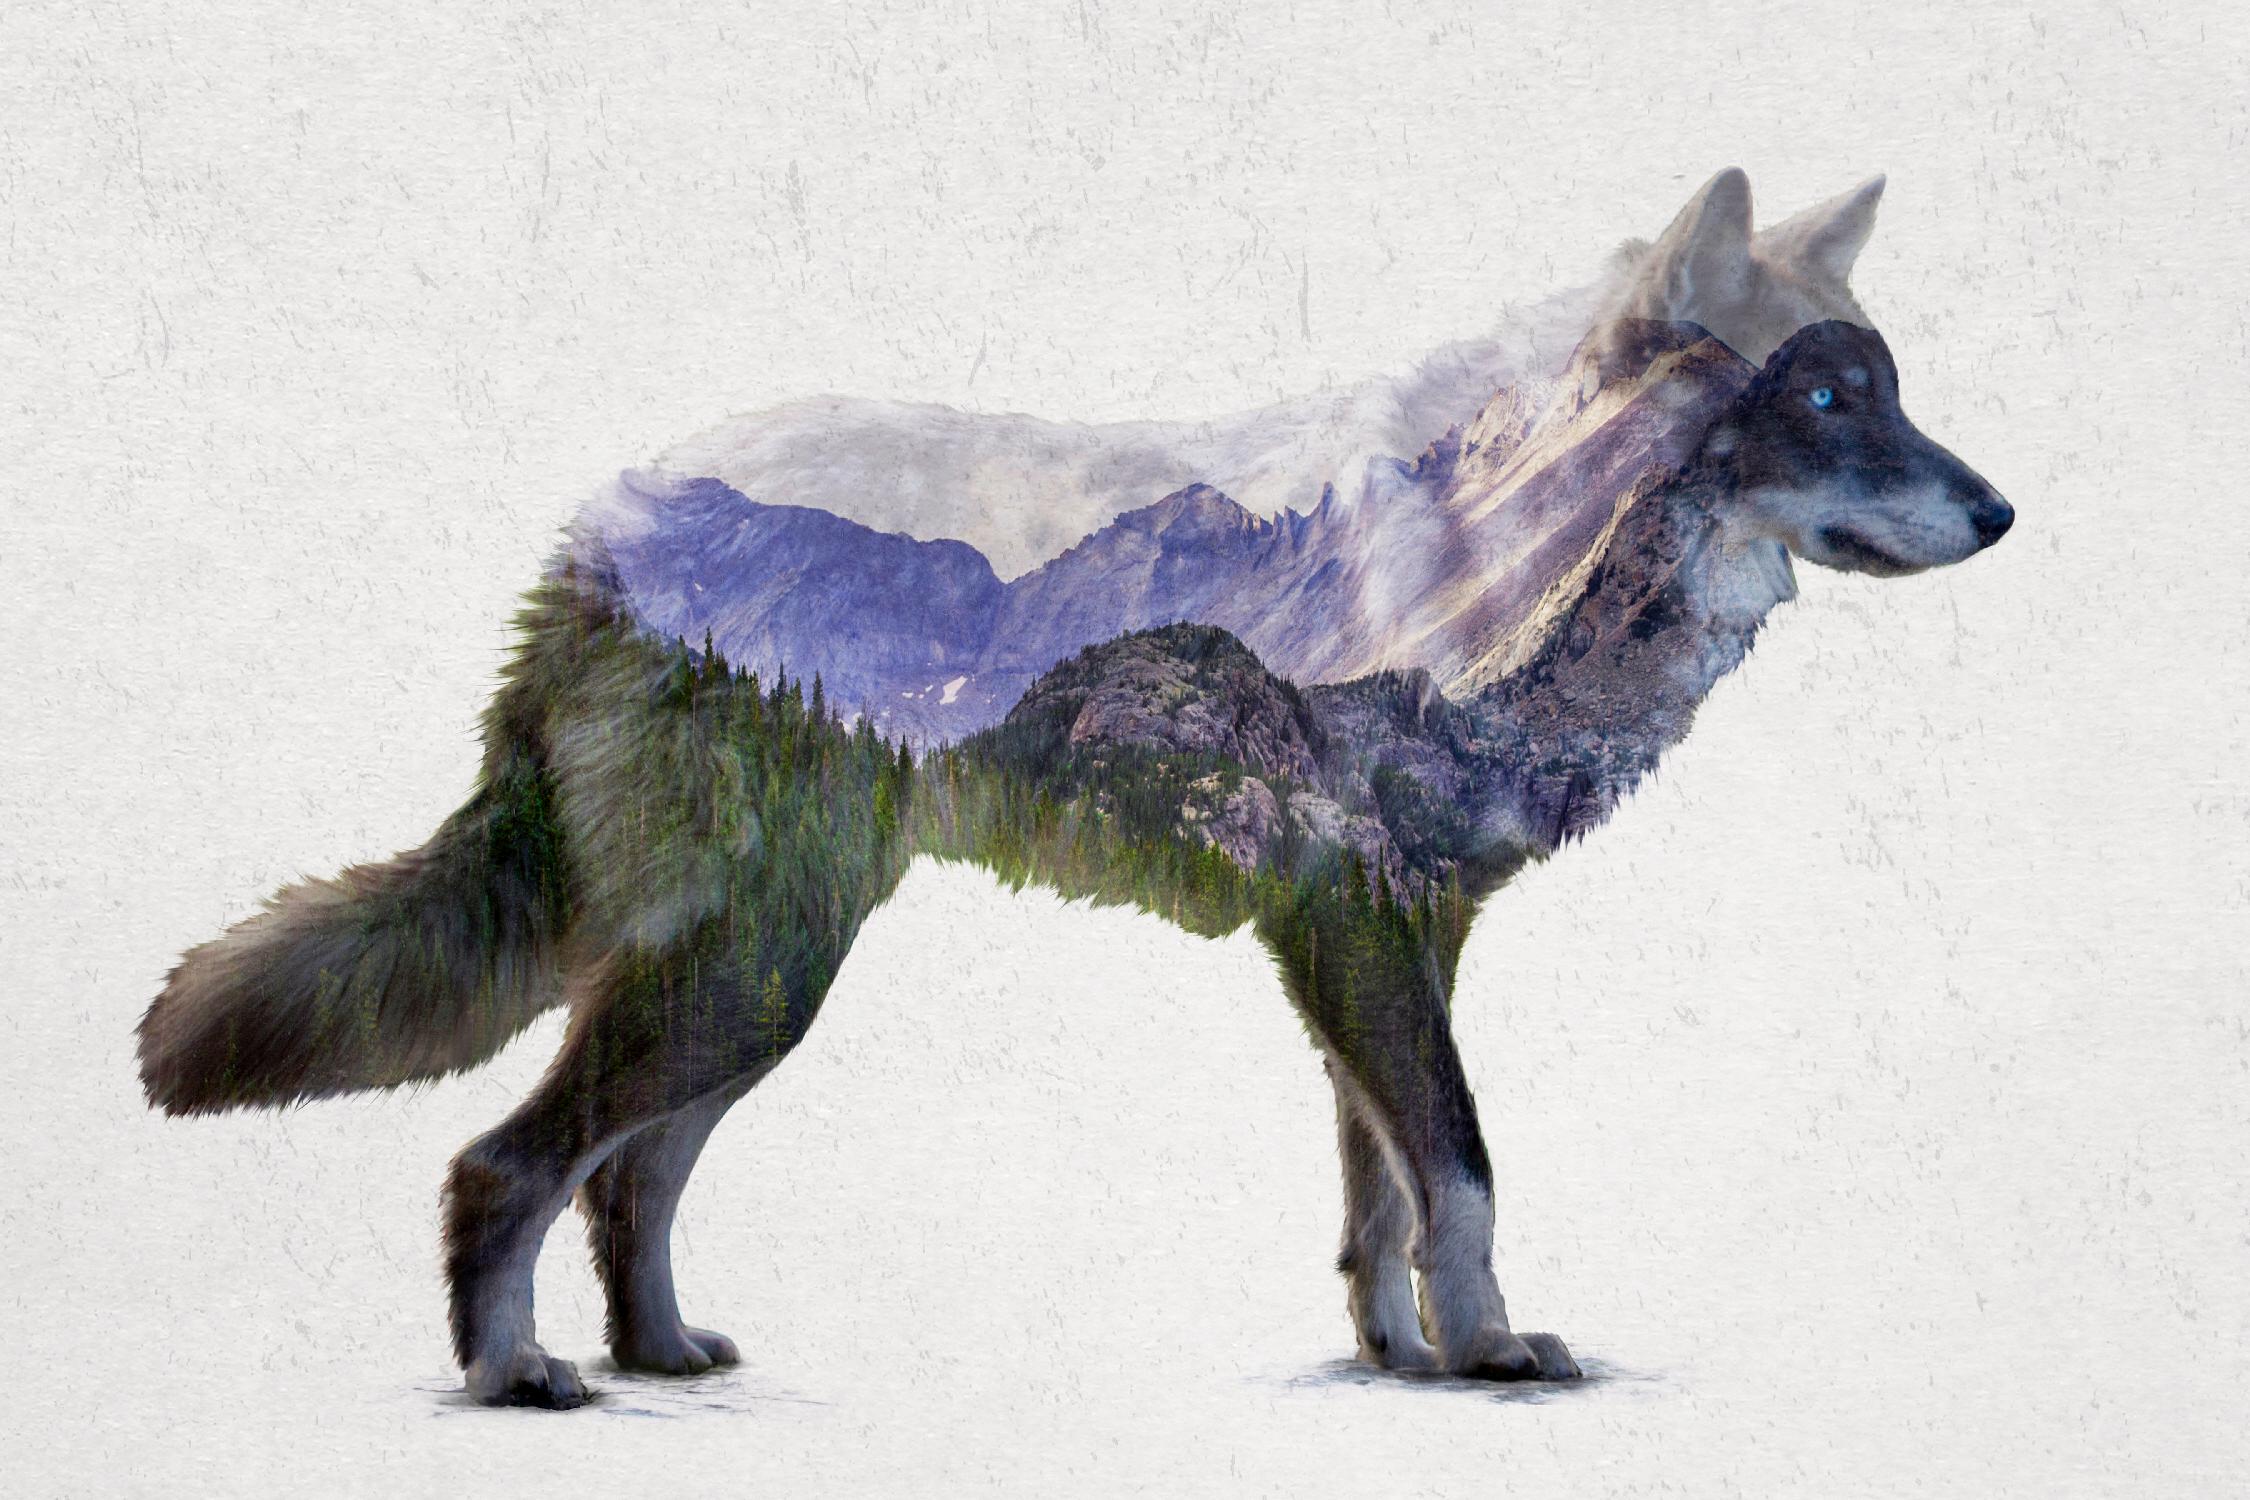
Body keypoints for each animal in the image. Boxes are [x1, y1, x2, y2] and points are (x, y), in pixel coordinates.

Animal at [137, 169, 2012, 1407]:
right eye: (1826, 395)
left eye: (1891, 388)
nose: (2002, 514)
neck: (1502, 569)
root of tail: (599, 533)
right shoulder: (1359, 940)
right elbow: (1463, 1171)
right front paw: (1488, 1356)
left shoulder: (1380, 951)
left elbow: (1386, 1196)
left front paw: (1405, 1357)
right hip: (753, 975)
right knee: (505, 1164)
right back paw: (521, 1381)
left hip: (764, 978)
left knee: (625, 1178)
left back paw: (660, 1355)